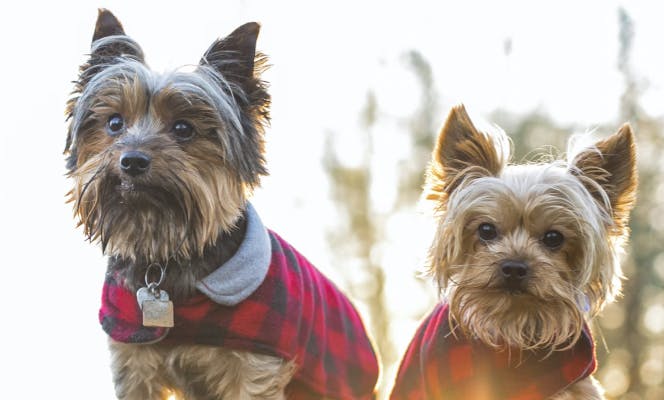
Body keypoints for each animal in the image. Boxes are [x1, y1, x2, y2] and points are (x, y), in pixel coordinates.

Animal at [66, 9, 378, 400]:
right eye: (114, 123)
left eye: (183, 128)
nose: (132, 160)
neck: (168, 254)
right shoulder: (132, 361)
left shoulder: (255, 367)